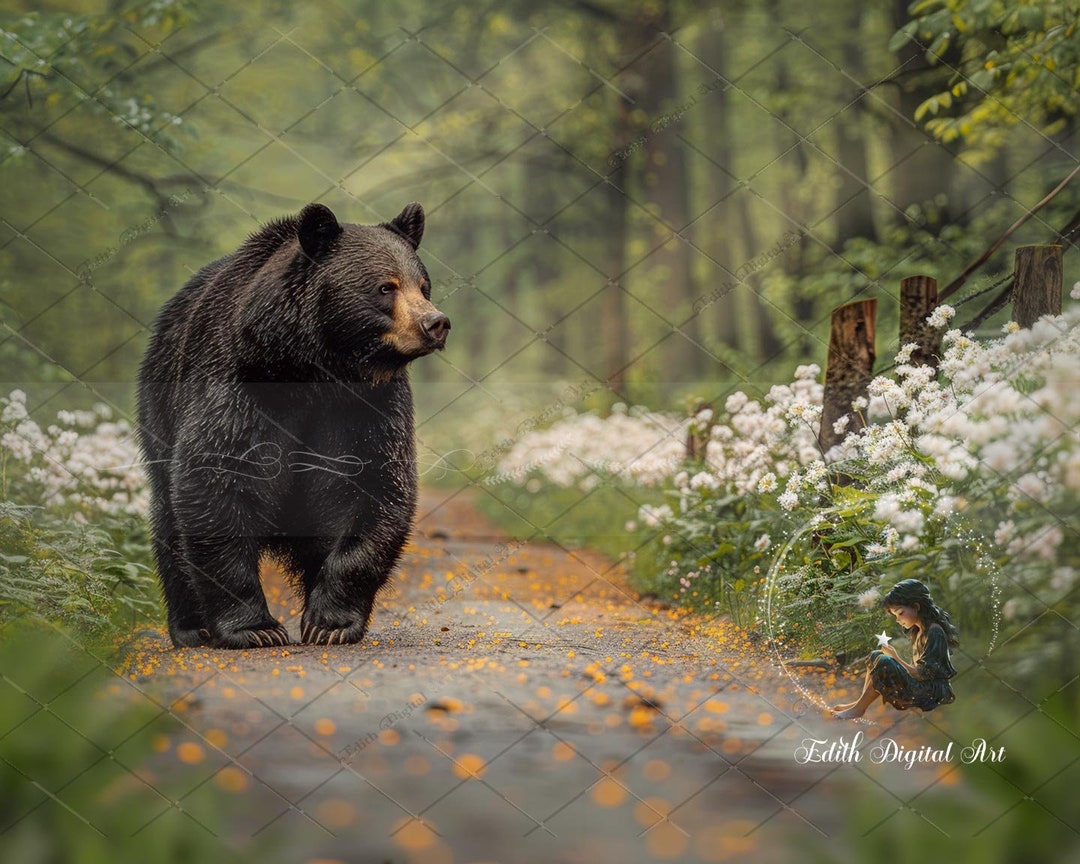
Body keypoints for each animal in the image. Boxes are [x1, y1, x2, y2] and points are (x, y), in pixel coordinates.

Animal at [136, 202, 450, 649]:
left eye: (423, 286)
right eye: (385, 287)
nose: (435, 323)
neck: (313, 368)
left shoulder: (367, 406)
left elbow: (375, 485)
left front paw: (330, 622)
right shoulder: (240, 385)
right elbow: (214, 479)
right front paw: (255, 628)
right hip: (158, 410)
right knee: (169, 521)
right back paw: (191, 626)